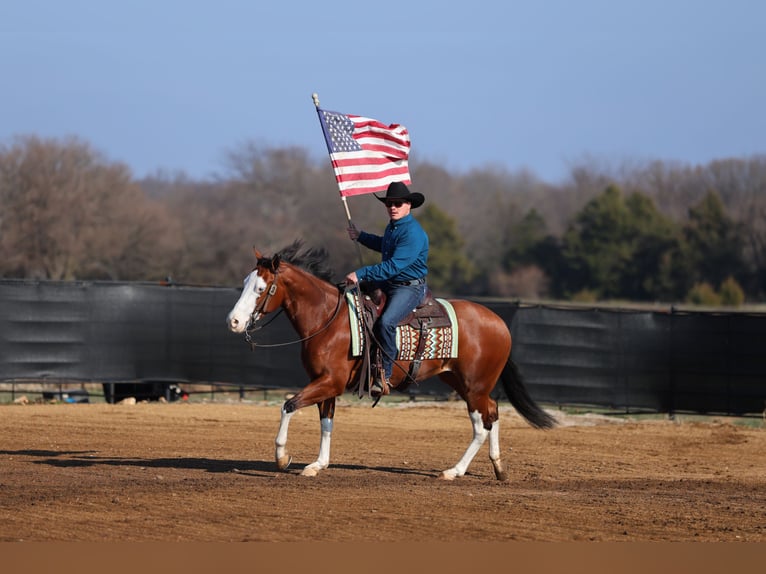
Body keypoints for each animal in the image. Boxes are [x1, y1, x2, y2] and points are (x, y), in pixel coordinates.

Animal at [226, 241, 556, 480]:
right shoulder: (325, 384)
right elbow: (326, 421)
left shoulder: (329, 382)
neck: (329, 319)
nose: (233, 321)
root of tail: (500, 323)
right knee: (493, 413)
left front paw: (282, 457)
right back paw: (498, 467)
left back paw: (454, 471)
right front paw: (318, 464)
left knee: (480, 425)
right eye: (244, 282)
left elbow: (289, 405)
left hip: (475, 387)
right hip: (463, 382)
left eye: (260, 289)